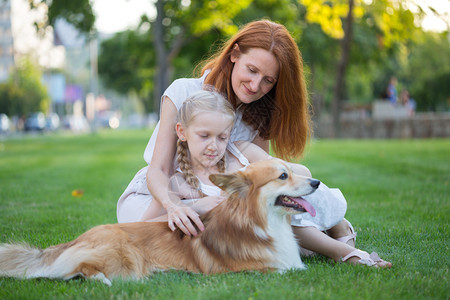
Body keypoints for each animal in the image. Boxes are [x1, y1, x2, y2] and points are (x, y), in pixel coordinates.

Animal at [0, 158, 320, 284]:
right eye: (282, 176)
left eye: (291, 170)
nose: (316, 182)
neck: (261, 222)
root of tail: (77, 240)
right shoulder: (262, 270)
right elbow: (285, 270)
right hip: (122, 257)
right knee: (74, 270)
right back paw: (103, 280)